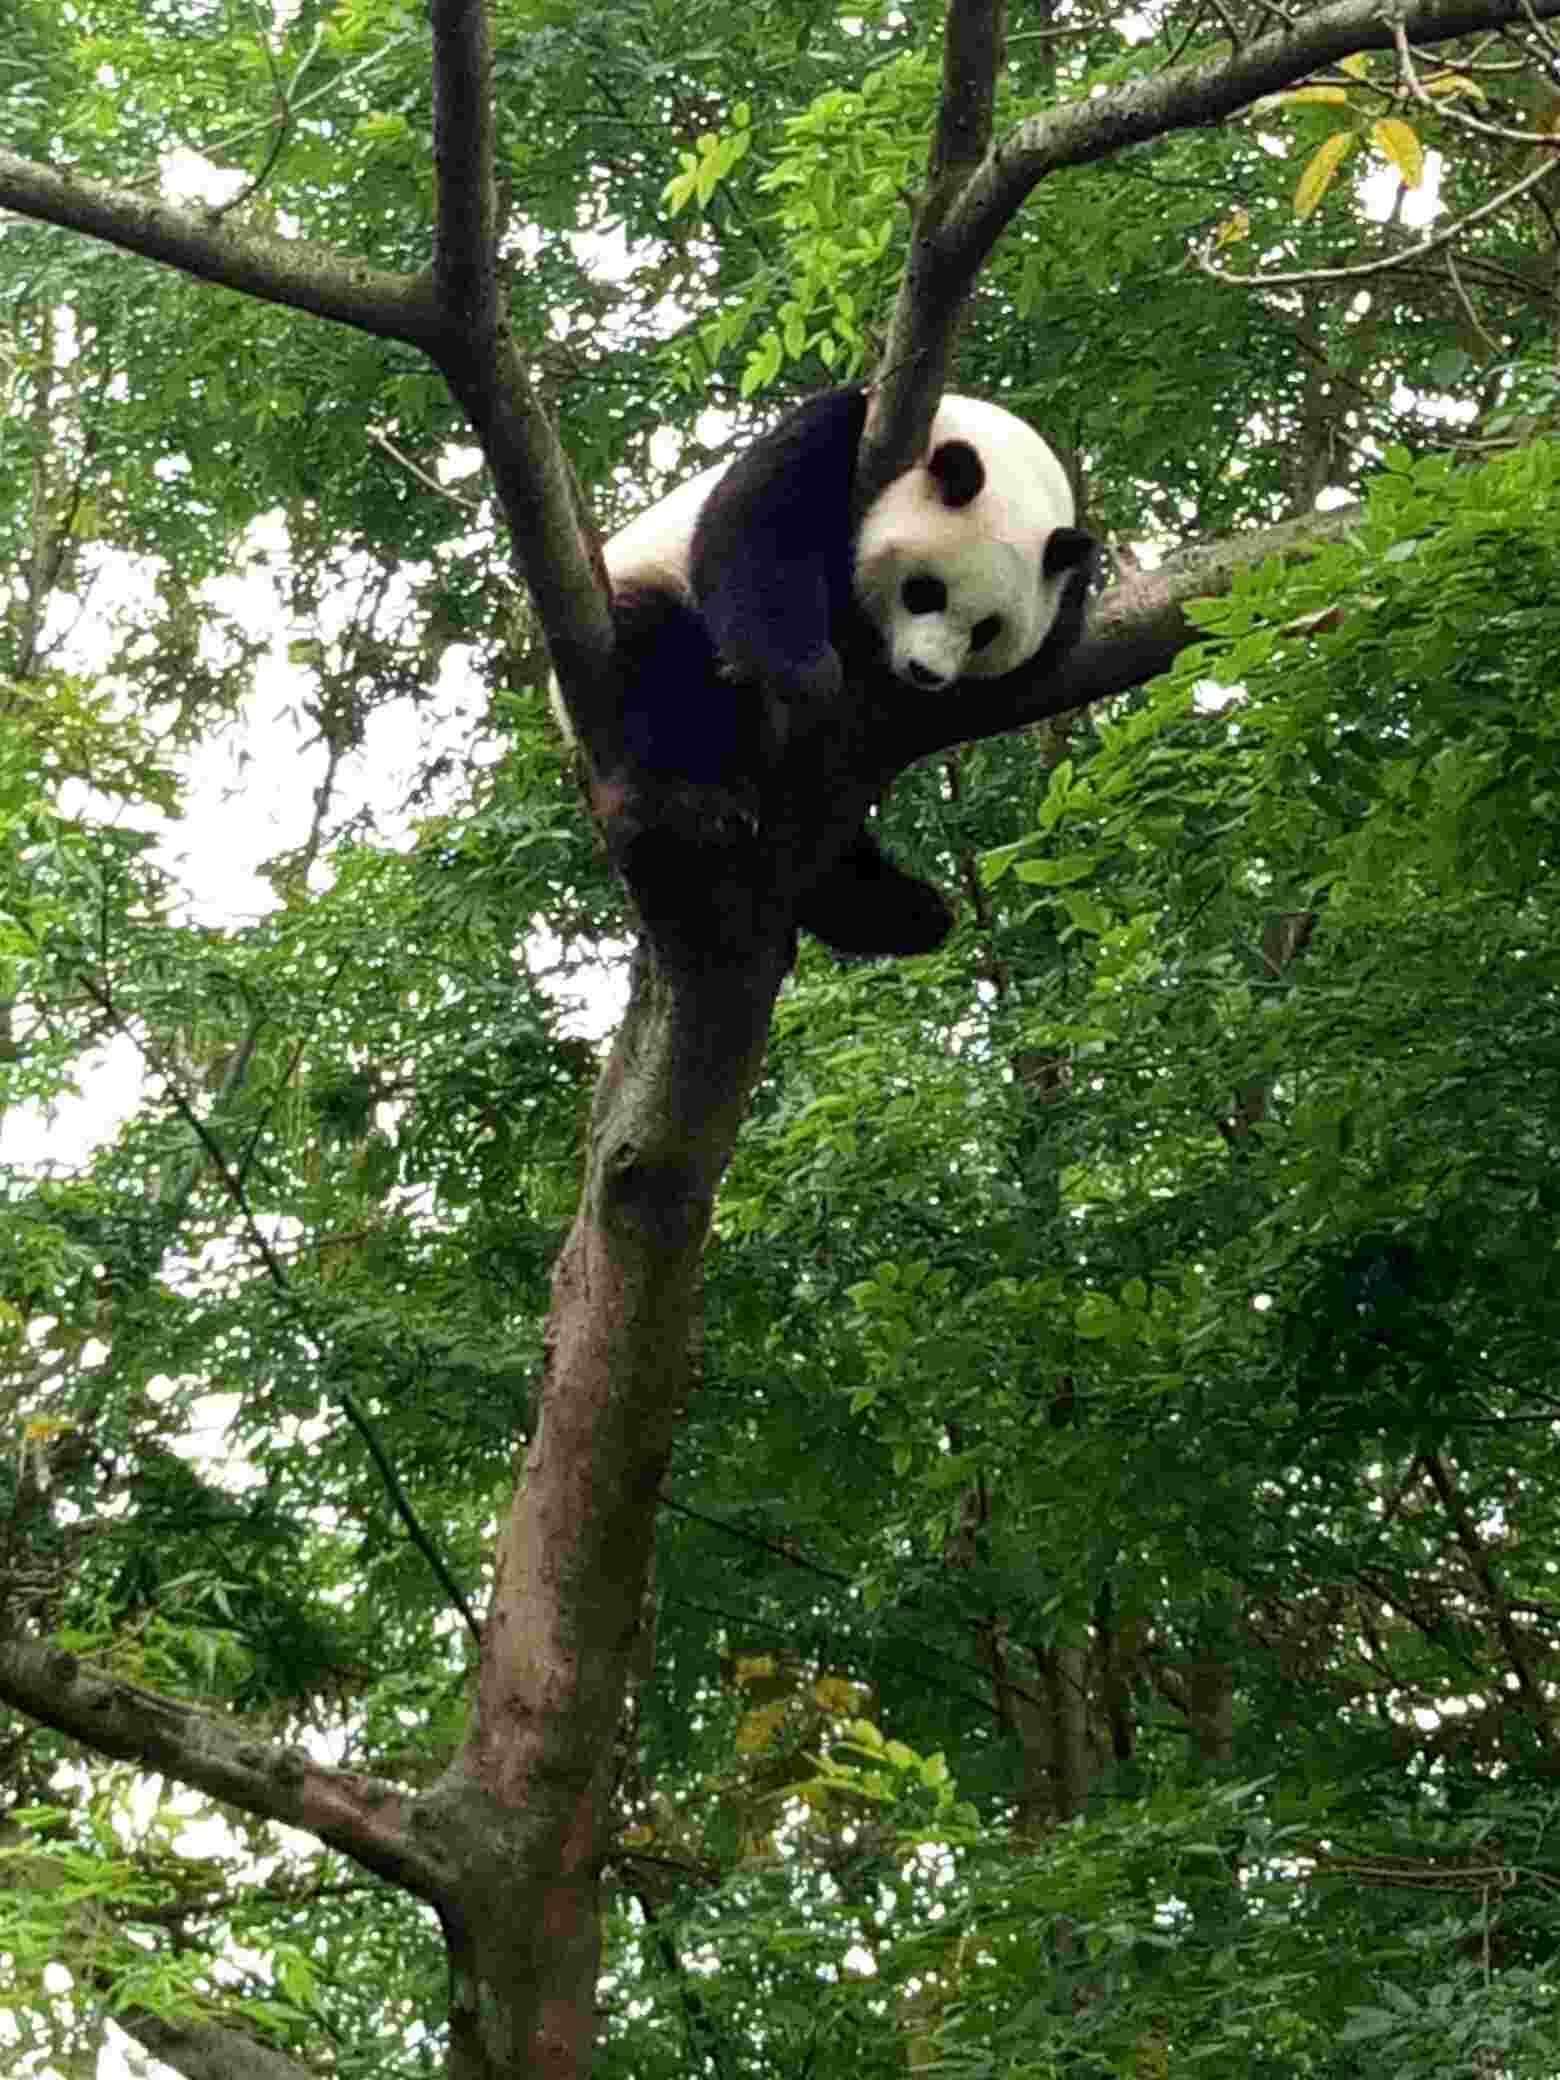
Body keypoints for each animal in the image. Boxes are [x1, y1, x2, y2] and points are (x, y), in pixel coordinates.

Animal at [556, 385, 1093, 956]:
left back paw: (897, 908)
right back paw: (694, 809)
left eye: (986, 630)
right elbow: (757, 535)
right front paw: (812, 675)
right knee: (668, 684)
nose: (924, 672)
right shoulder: (846, 438)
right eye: (925, 591)